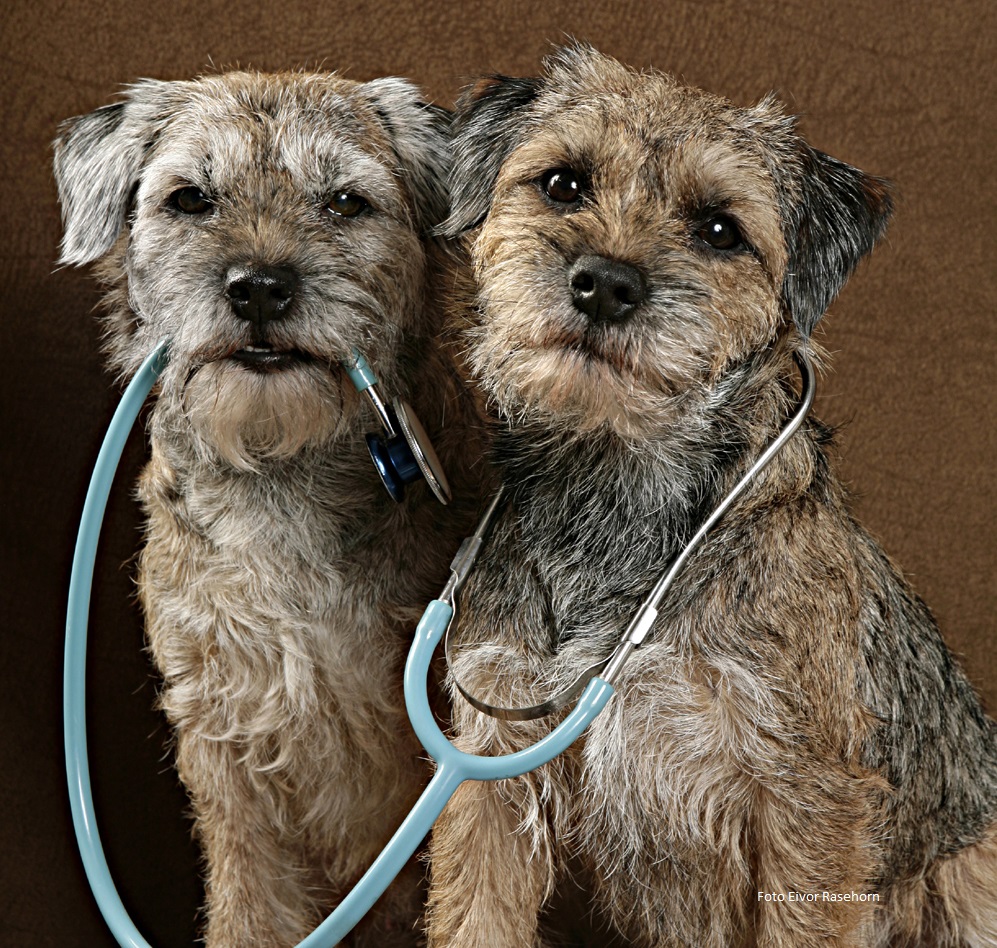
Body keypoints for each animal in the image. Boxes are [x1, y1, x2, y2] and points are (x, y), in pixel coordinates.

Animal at [54, 70, 483, 946]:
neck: (279, 473)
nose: (258, 285)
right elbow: (251, 905)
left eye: (346, 202)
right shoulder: (224, 748)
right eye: (190, 199)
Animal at [426, 45, 997, 947]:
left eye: (719, 229)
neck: (615, 502)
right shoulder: (490, 770)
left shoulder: (811, 810)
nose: (604, 283)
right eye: (562, 183)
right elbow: (475, 915)